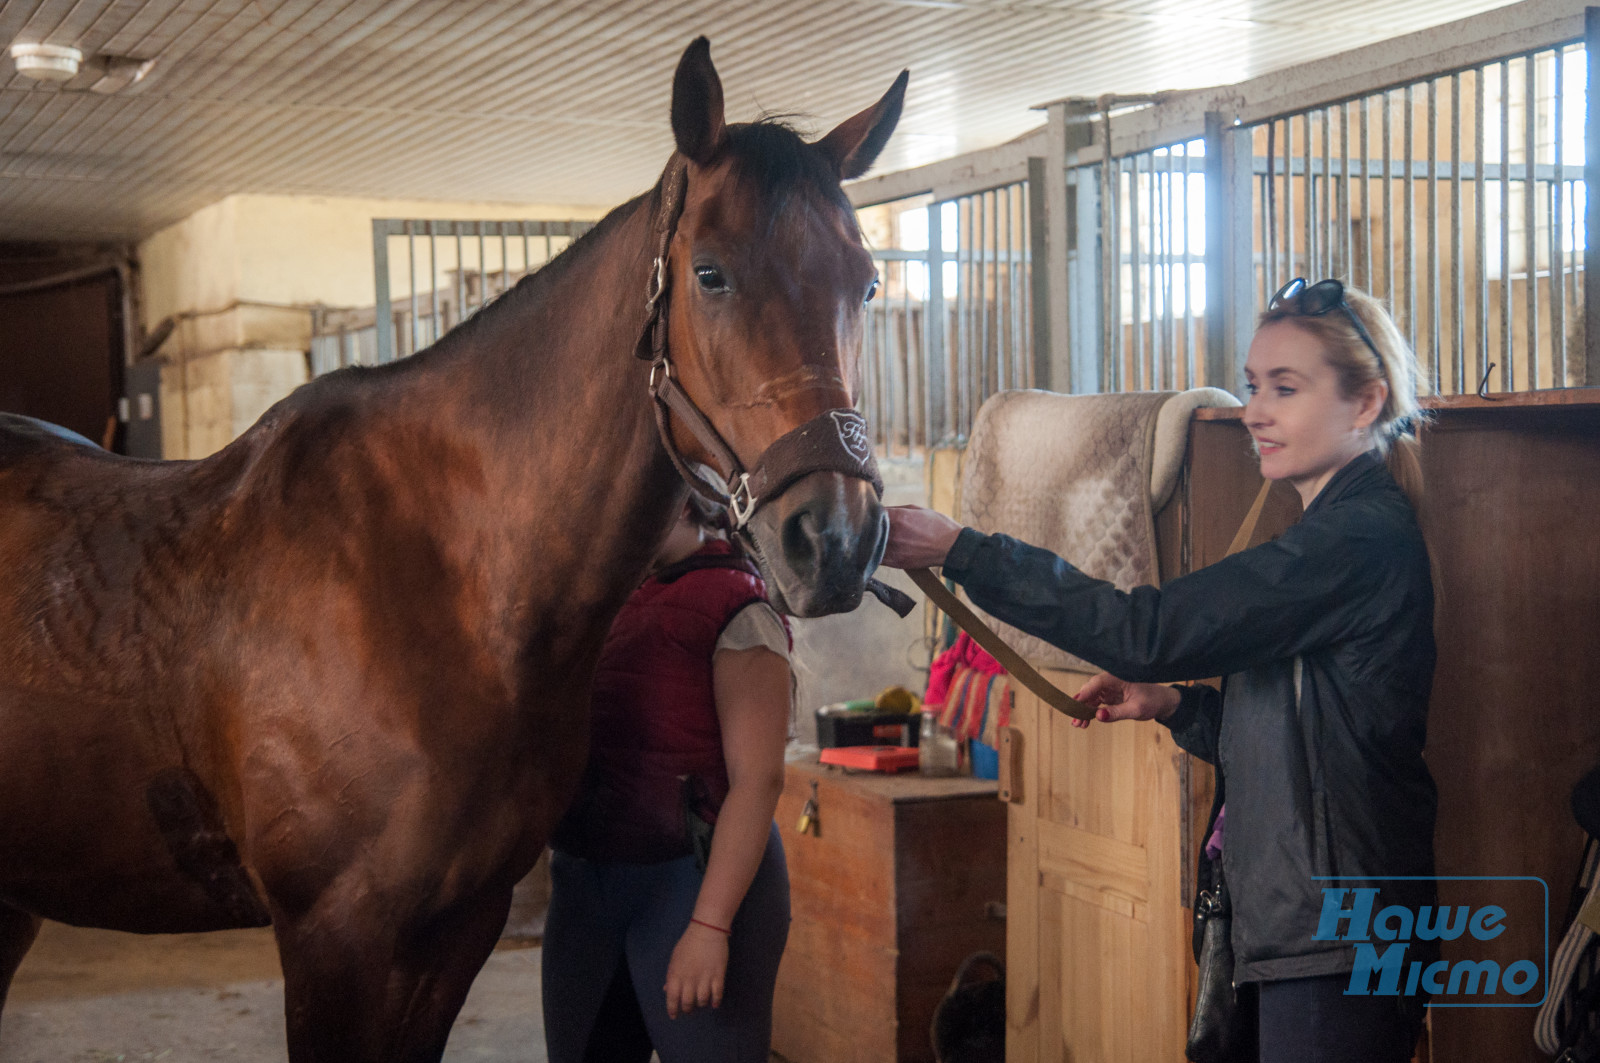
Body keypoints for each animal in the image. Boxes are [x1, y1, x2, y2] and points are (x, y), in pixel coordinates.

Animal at [0, 37, 908, 1056]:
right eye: (710, 274)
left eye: (868, 282)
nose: (835, 538)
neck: (450, 581)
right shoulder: (332, 938)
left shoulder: (457, 927)